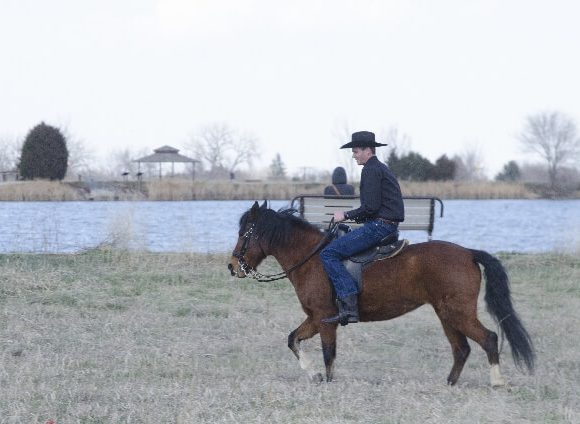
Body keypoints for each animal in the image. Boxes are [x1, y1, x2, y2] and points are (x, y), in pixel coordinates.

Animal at [228, 200, 536, 386]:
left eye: (245, 234)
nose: (232, 266)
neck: (312, 257)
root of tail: (468, 253)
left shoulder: (325, 318)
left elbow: (328, 353)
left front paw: (326, 380)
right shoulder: (316, 318)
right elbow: (293, 339)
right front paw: (314, 374)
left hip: (458, 313)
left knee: (489, 338)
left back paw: (497, 382)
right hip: (447, 314)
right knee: (461, 349)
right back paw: (450, 383)